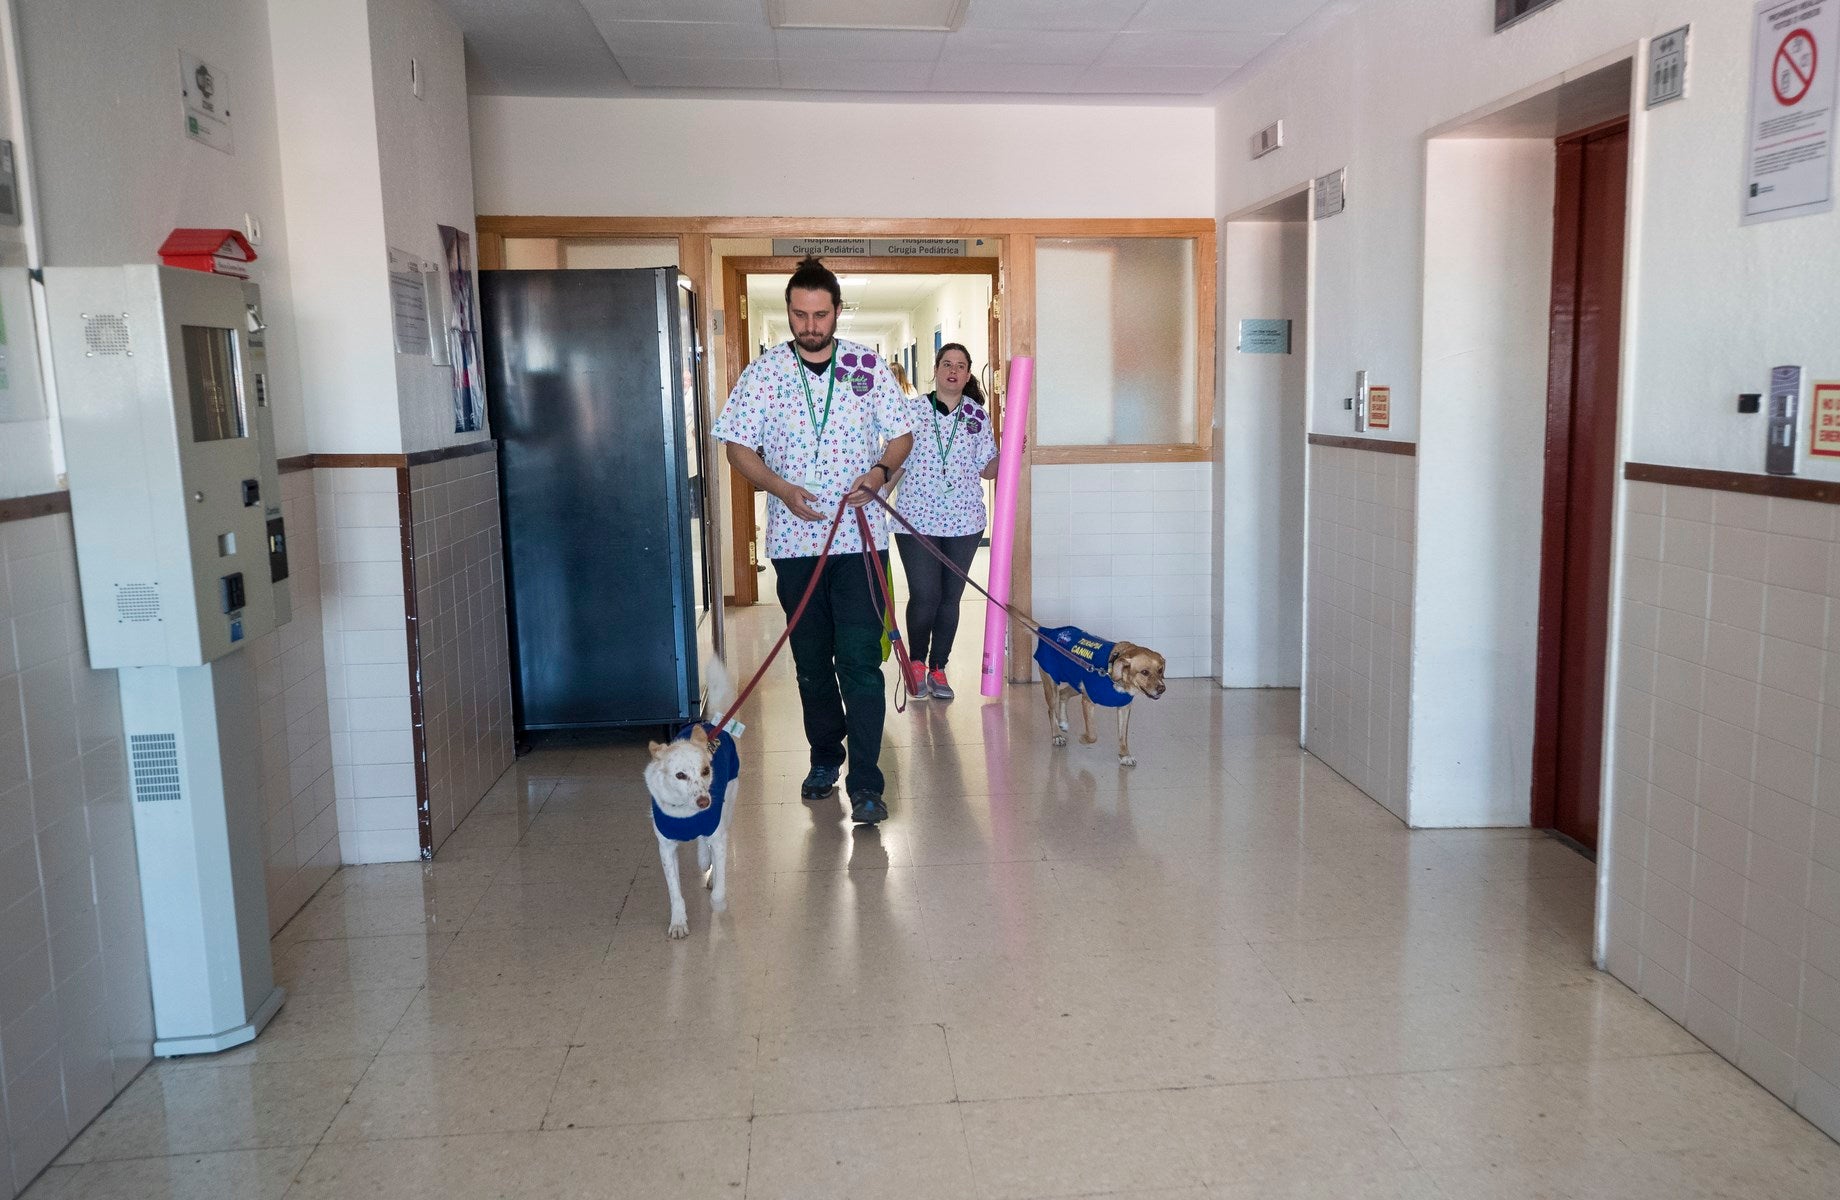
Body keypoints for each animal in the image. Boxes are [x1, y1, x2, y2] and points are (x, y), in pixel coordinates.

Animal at [644, 655, 736, 938]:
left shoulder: (717, 831)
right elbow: (675, 892)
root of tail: (710, 724)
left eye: (706, 770)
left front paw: (719, 906)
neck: (686, 812)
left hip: (728, 806)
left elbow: (719, 888)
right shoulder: (666, 848)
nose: (704, 802)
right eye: (680, 775)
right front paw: (678, 922)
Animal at [1037, 622, 1162, 765]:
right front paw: (1083, 738)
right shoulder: (1088, 701)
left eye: (1160, 670)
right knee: (1051, 710)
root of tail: (1049, 632)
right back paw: (1056, 735)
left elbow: (1123, 736)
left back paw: (1063, 722)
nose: (1162, 688)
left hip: (1077, 683)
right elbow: (1092, 735)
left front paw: (1124, 755)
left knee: (1063, 693)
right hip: (1052, 683)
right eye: (1145, 672)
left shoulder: (1124, 708)